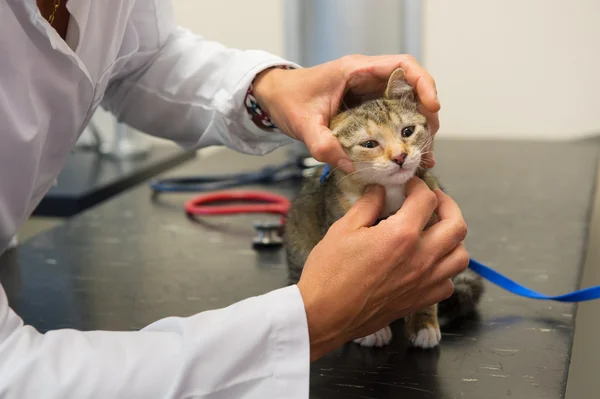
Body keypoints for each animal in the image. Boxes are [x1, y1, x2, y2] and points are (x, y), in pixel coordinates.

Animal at [284, 69, 486, 350]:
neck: (391, 195)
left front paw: (424, 323)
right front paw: (371, 330)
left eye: (408, 131)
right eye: (369, 144)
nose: (400, 156)